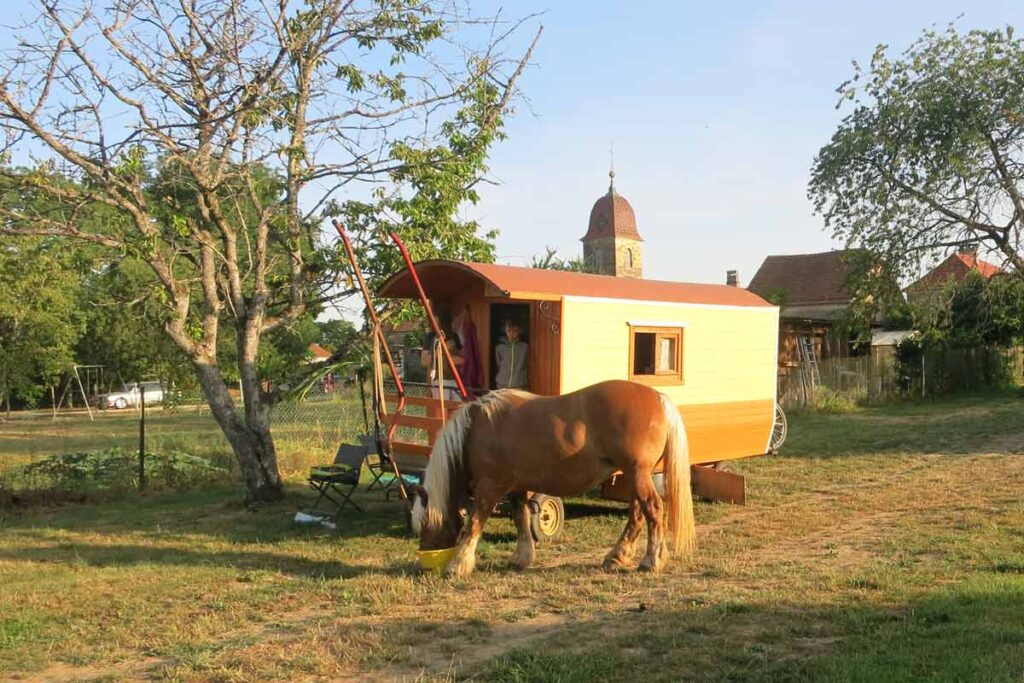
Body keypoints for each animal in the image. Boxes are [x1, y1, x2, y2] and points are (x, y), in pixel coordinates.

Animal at [410, 379, 696, 578]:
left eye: (424, 523)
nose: (426, 563)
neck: (478, 428)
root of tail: (658, 398)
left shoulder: (489, 487)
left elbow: (474, 524)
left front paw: (457, 566)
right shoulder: (515, 487)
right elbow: (521, 517)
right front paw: (522, 557)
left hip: (638, 473)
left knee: (653, 510)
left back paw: (651, 561)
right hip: (636, 475)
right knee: (637, 514)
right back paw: (617, 556)